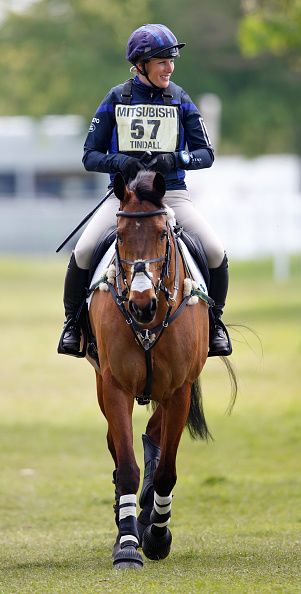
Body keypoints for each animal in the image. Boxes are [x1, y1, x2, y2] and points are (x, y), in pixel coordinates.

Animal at [88, 169, 219, 568]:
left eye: (163, 233)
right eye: (120, 235)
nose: (141, 305)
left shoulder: (178, 390)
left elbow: (165, 472)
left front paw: (158, 536)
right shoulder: (115, 386)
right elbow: (127, 468)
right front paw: (128, 544)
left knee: (153, 437)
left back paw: (149, 517)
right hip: (103, 385)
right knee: (121, 448)